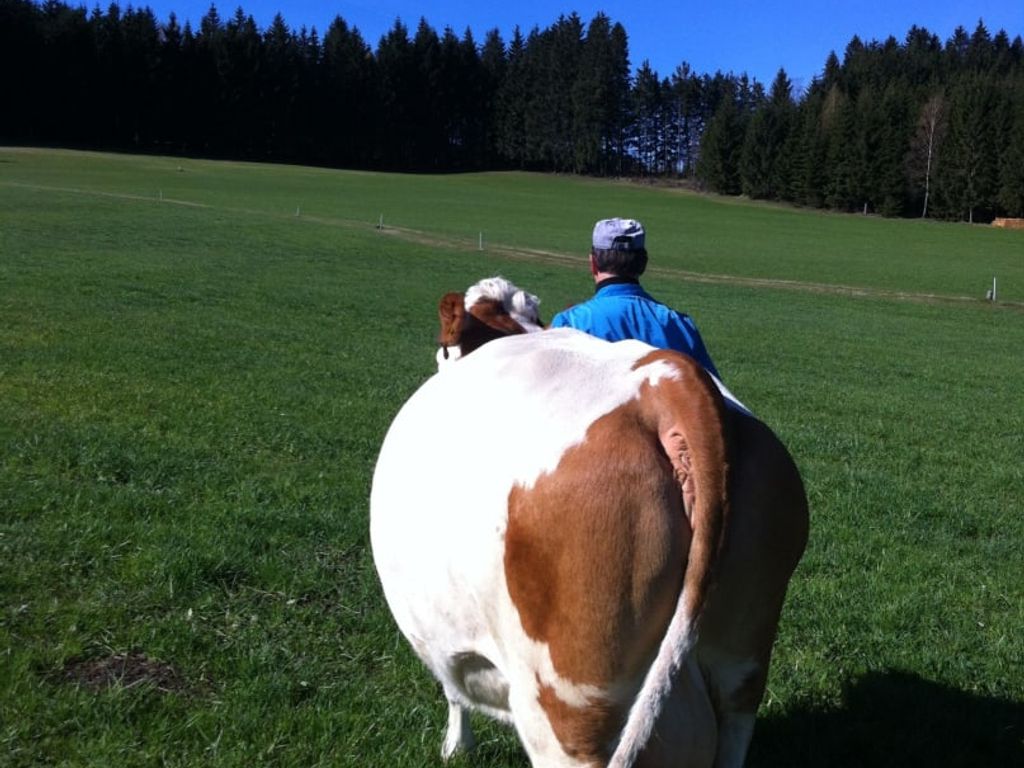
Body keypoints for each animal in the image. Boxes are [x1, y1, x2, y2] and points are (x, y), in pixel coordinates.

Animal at [370, 276, 808, 768]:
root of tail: (665, 382)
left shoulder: (444, 639)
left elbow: (454, 691)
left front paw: (454, 747)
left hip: (565, 705)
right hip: (744, 657)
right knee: (737, 713)